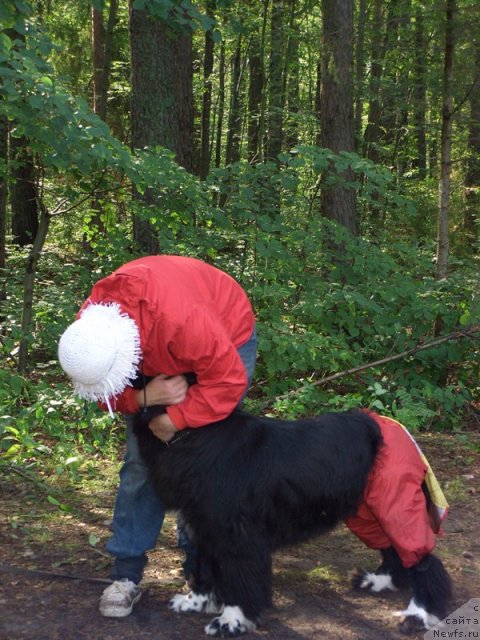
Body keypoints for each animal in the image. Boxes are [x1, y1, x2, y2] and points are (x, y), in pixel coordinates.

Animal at [133, 408, 452, 636]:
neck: (195, 434)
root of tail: (395, 427)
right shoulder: (203, 523)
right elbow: (202, 568)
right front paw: (195, 602)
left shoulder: (237, 534)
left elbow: (239, 577)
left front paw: (232, 620)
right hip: (369, 512)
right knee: (393, 550)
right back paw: (378, 581)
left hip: (395, 505)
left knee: (422, 560)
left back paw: (418, 614)